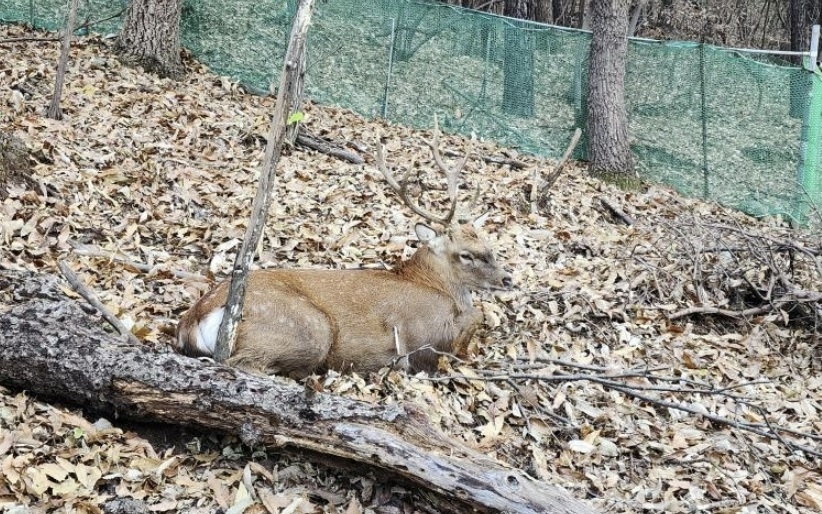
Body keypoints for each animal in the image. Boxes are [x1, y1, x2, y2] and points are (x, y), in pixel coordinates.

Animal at [176, 128, 512, 376]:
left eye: (490, 247)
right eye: (466, 254)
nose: (507, 279)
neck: (433, 284)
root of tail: (194, 317)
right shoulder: (424, 337)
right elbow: (474, 320)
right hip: (308, 327)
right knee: (240, 363)